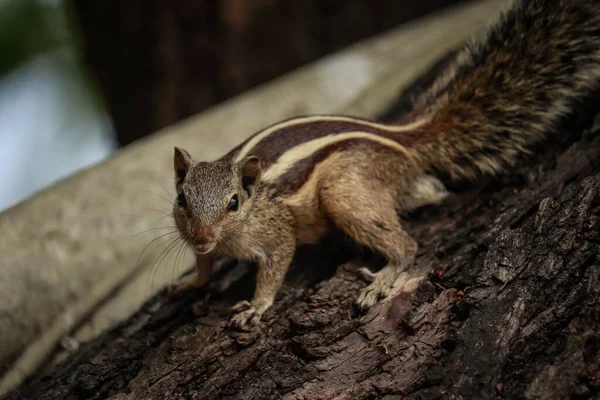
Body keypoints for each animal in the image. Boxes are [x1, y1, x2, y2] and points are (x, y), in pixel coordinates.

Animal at [169, 0, 600, 332]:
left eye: (234, 203)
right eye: (181, 199)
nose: (202, 236)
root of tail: (402, 139)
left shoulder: (277, 234)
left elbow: (275, 267)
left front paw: (257, 306)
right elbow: (203, 264)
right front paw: (190, 283)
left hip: (345, 191)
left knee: (407, 244)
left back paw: (383, 279)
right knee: (427, 194)